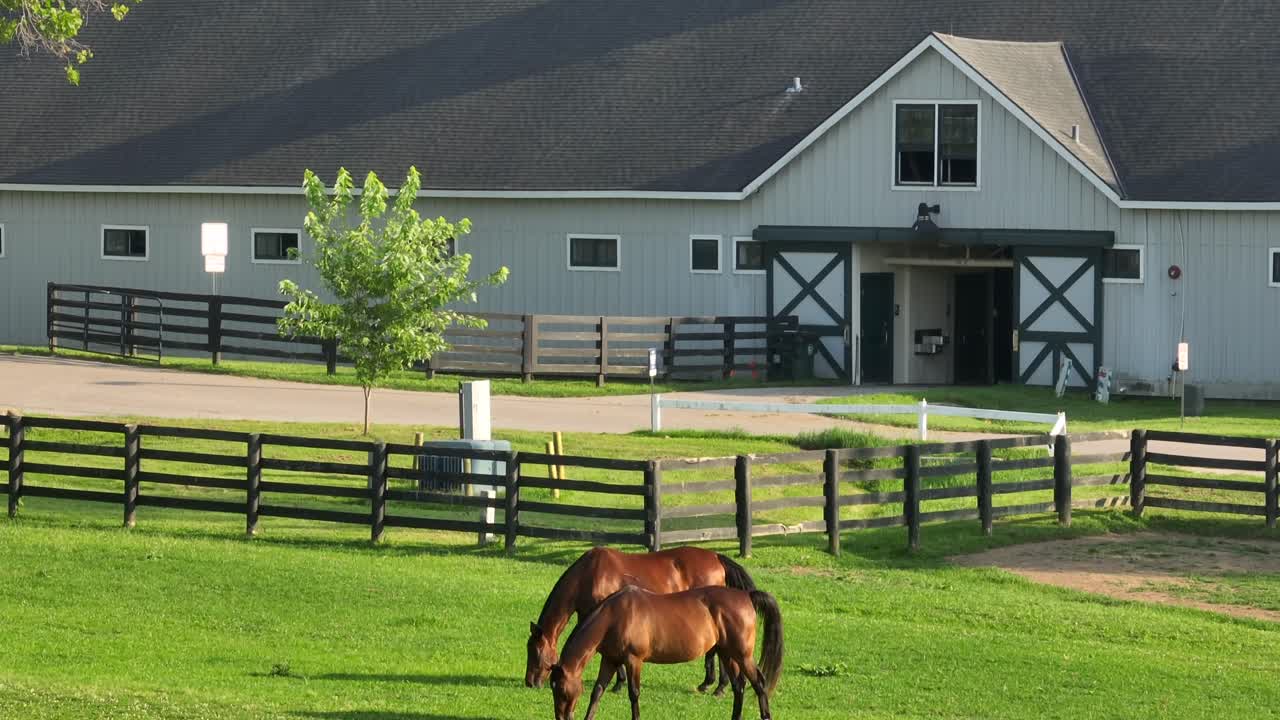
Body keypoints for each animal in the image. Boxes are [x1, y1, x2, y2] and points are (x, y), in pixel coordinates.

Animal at [525, 546, 757, 696]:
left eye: (536, 652)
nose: (530, 682)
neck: (590, 574)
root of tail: (716, 557)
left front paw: (618, 683)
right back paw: (714, 685)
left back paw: (717, 687)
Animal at [549, 585, 783, 720]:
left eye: (561, 690)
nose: (561, 717)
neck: (615, 616)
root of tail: (746, 595)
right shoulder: (610, 660)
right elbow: (597, 691)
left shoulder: (634, 660)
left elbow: (634, 694)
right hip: (727, 654)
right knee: (739, 687)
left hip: (743, 655)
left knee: (759, 684)